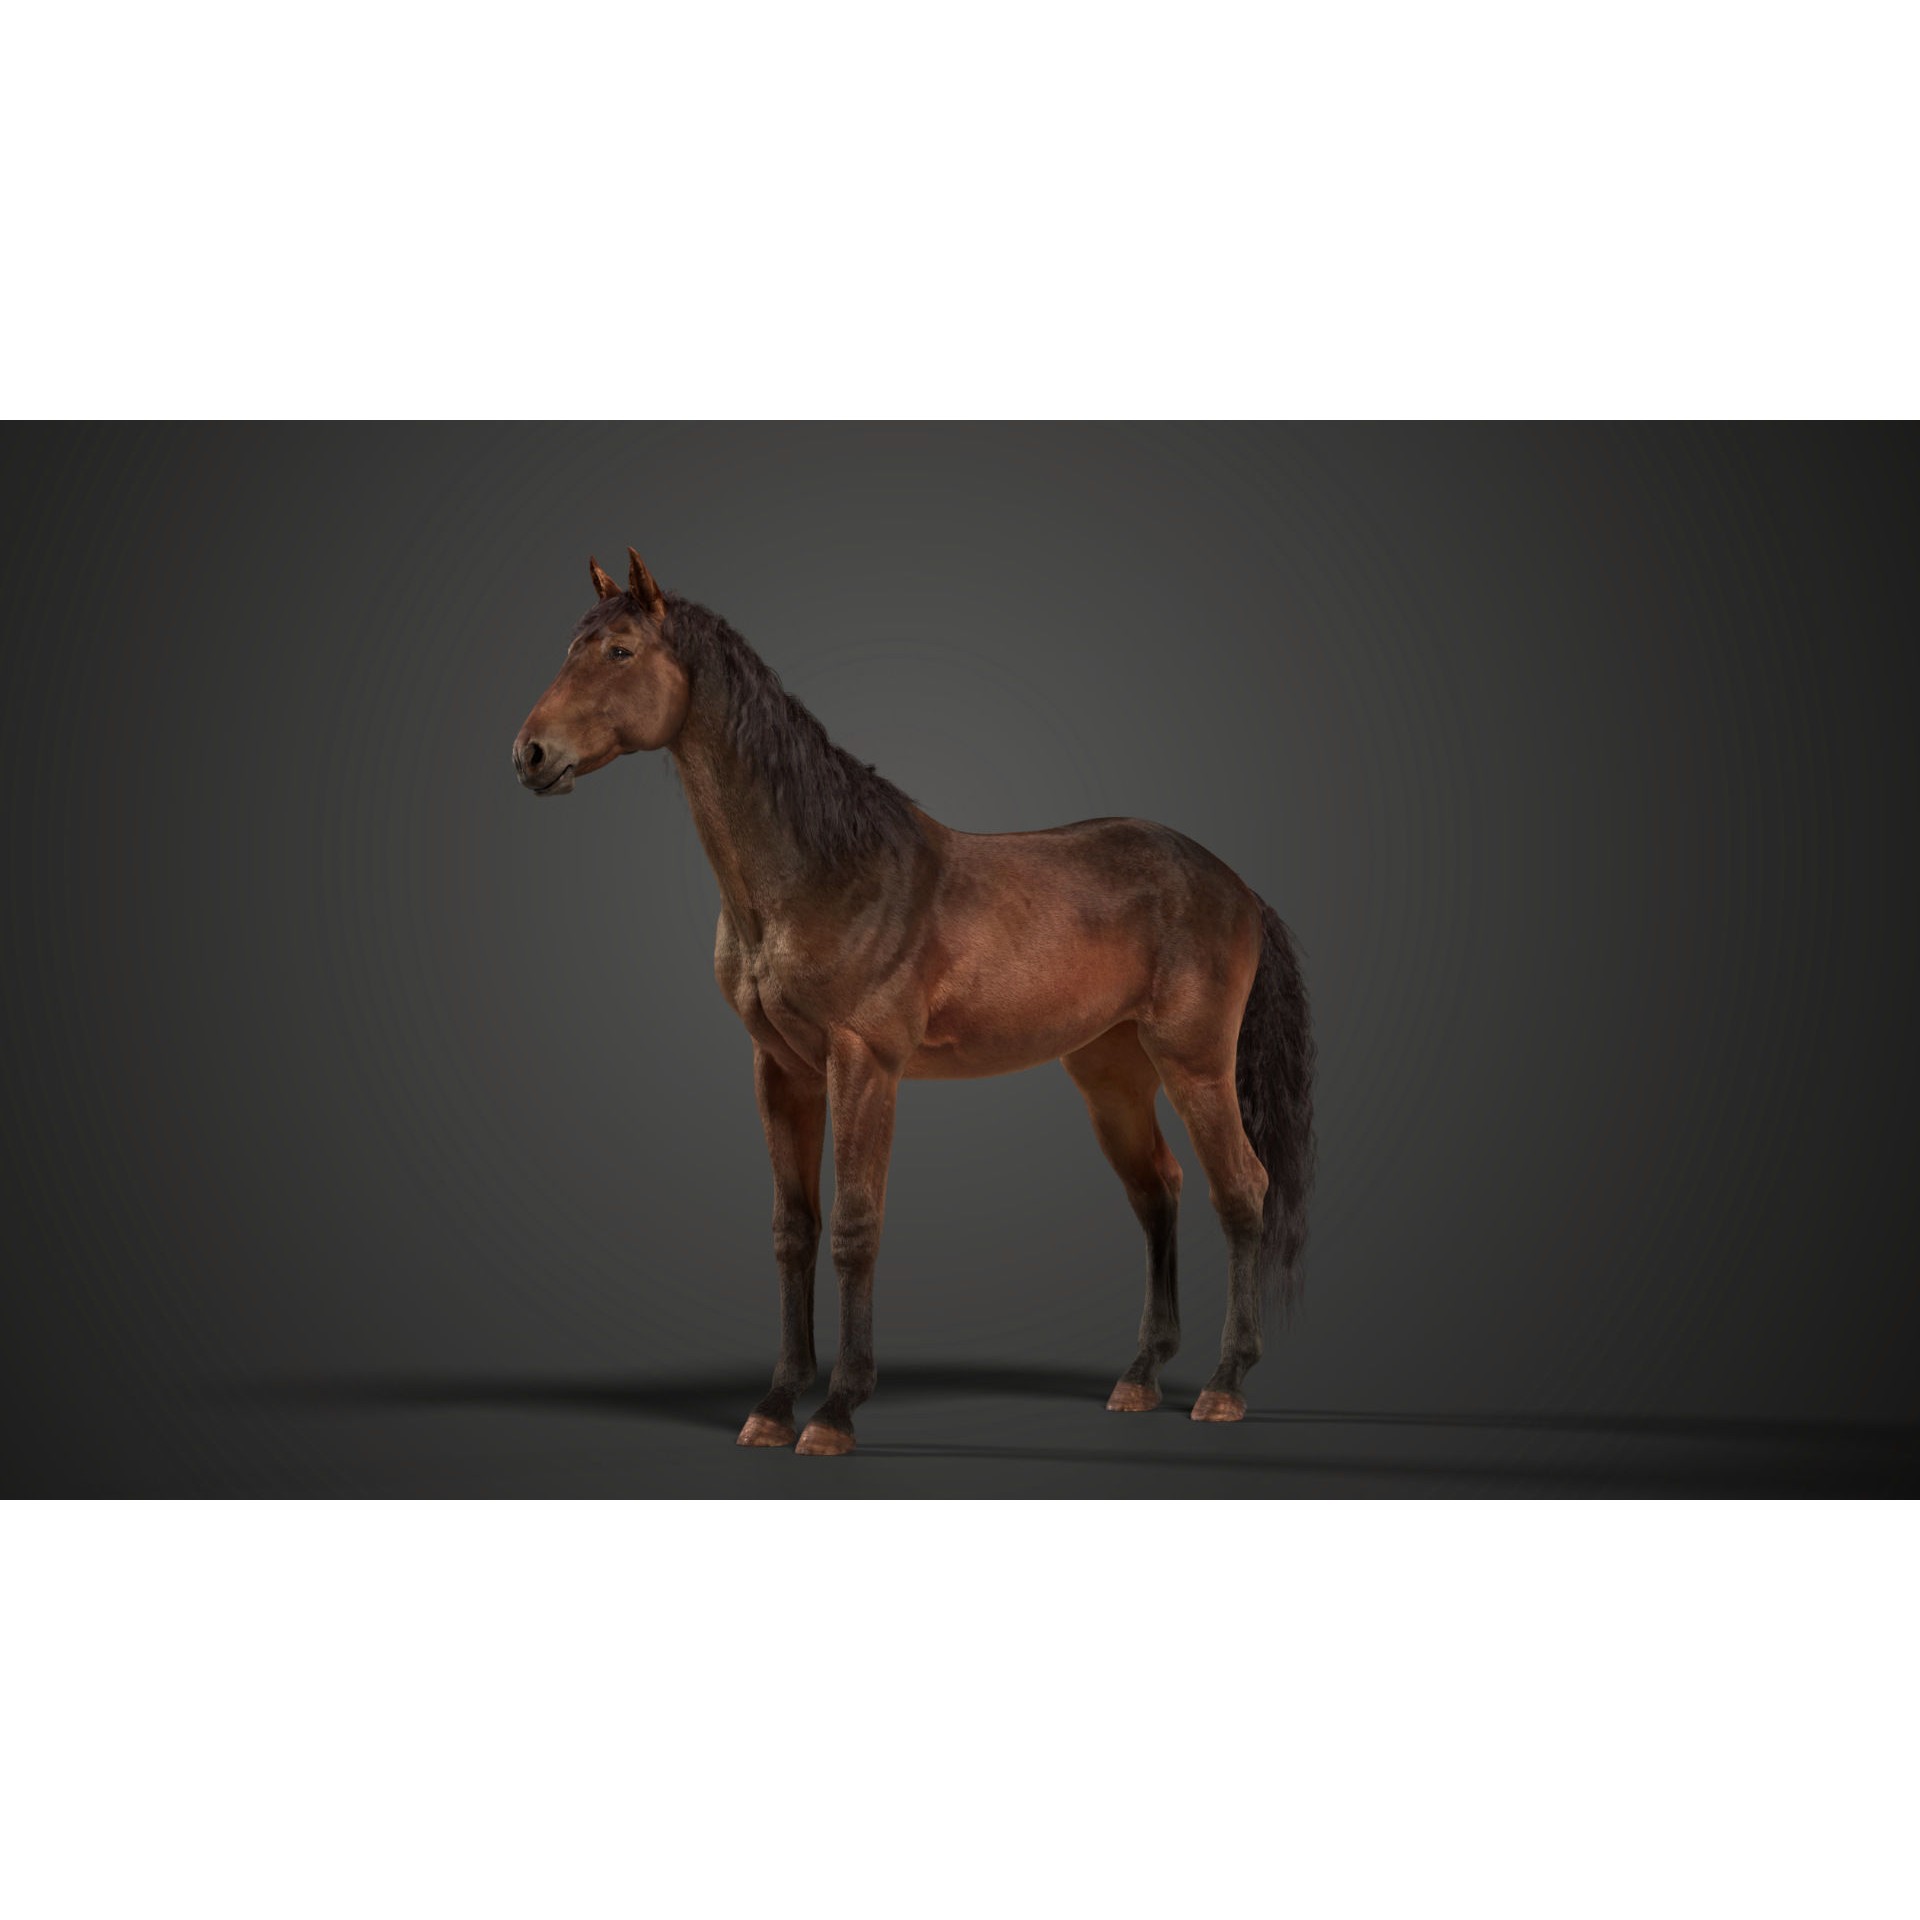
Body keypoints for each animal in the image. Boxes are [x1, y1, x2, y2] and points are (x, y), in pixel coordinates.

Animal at [511, 550, 1315, 1456]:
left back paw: (1225, 1385)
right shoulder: (780, 1070)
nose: (530, 753)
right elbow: (794, 1231)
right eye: (572, 648)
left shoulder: (865, 1065)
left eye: (619, 652)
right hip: (1110, 1076)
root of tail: (1236, 886)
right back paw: (1141, 1378)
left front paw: (835, 1412)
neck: (822, 870)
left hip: (1196, 1065)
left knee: (1240, 1190)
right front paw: (775, 1404)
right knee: (1159, 1193)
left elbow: (856, 1229)